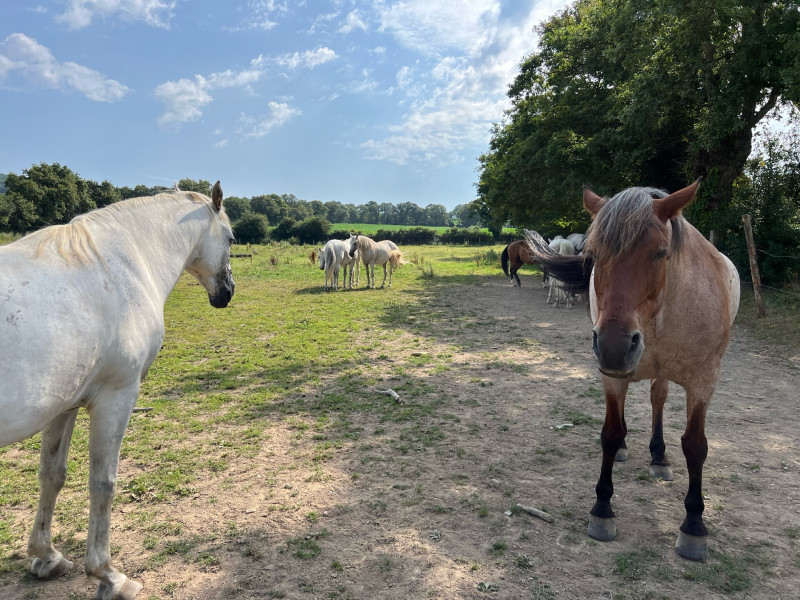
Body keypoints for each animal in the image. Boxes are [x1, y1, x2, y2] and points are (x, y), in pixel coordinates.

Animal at [0, 183, 236, 600]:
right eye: (230, 238)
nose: (228, 292)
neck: (124, 267)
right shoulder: (116, 396)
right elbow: (103, 483)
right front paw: (108, 575)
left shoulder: (64, 405)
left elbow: (51, 474)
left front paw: (47, 556)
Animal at [524, 179, 736, 564]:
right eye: (594, 254)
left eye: (661, 252)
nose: (614, 346)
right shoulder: (611, 376)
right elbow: (610, 433)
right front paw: (602, 510)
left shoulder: (704, 381)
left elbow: (695, 446)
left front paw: (694, 526)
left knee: (658, 399)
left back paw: (659, 457)